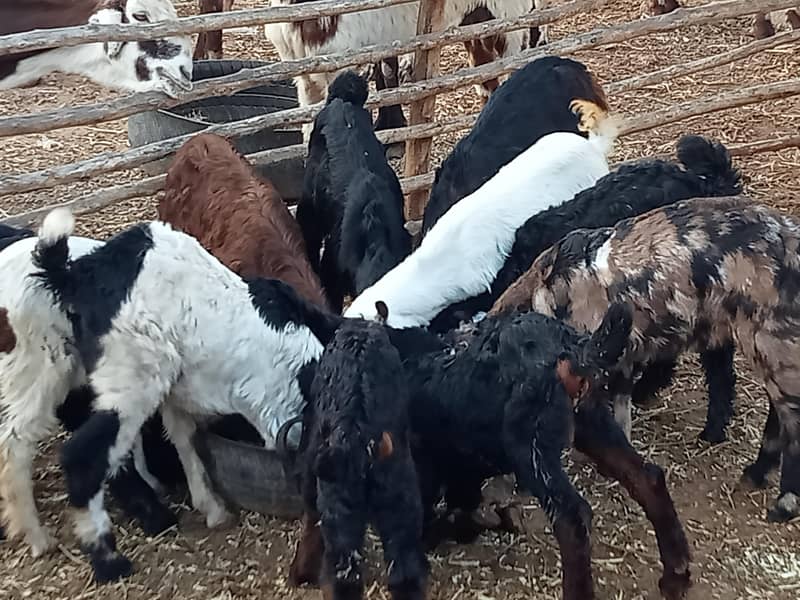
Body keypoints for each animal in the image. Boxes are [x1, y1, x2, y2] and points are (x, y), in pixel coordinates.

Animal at [29, 208, 330, 581]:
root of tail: (78, 275)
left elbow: (184, 437)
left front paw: (211, 508)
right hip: (134, 379)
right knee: (83, 456)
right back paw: (108, 559)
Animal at [491, 195, 800, 524]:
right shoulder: (620, 354)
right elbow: (621, 404)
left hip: (772, 339)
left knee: (791, 418)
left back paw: (782, 504)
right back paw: (752, 474)